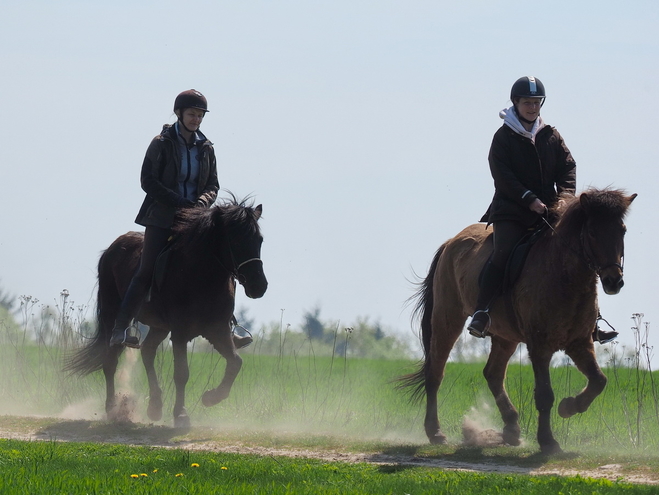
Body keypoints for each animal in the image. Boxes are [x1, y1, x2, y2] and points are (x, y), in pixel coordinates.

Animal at [64, 198, 266, 426]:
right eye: (236, 241)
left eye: (259, 240)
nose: (259, 286)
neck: (201, 275)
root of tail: (111, 249)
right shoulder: (179, 332)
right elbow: (182, 373)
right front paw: (181, 414)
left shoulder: (218, 330)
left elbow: (235, 362)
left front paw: (211, 397)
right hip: (111, 316)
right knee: (110, 361)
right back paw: (112, 408)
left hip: (159, 326)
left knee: (147, 351)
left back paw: (155, 406)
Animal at [404, 191, 636, 458]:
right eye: (592, 232)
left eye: (622, 230)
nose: (613, 282)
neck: (564, 276)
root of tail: (451, 242)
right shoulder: (539, 346)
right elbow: (545, 394)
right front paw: (548, 442)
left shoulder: (579, 343)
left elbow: (599, 380)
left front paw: (569, 407)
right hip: (447, 319)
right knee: (436, 372)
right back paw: (436, 432)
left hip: (506, 337)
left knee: (493, 374)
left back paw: (511, 428)